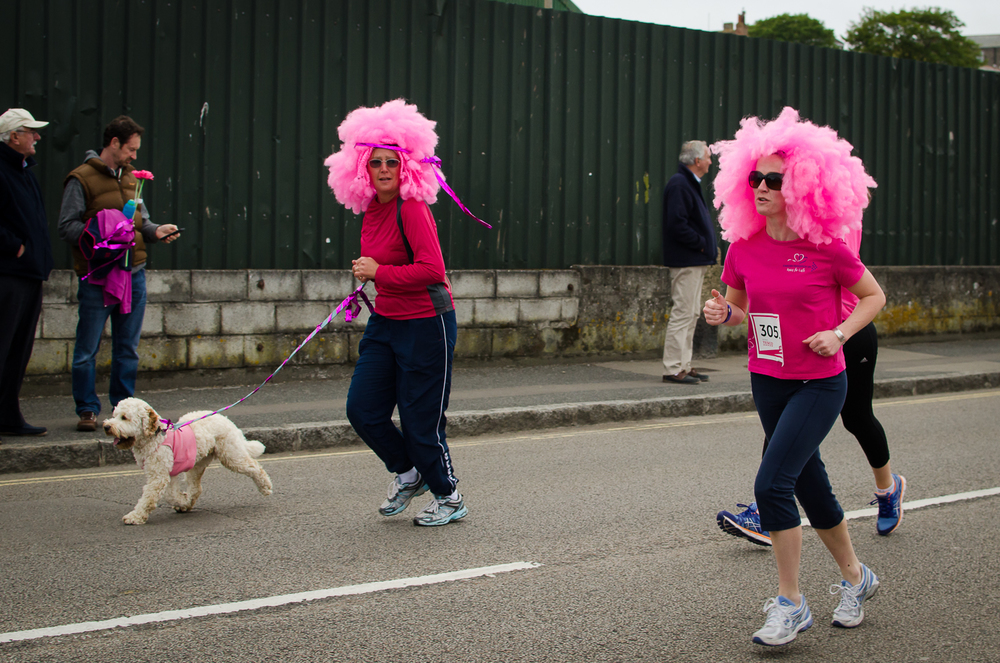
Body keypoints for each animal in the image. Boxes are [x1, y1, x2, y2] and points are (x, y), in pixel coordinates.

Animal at [104, 396, 274, 528]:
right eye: (114, 415)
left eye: (124, 417)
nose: (106, 426)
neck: (155, 437)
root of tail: (227, 420)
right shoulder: (167, 474)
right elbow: (171, 495)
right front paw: (182, 502)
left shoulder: (158, 476)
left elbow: (149, 497)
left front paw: (135, 517)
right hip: (197, 463)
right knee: (196, 488)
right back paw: (188, 503)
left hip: (231, 455)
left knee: (255, 467)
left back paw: (265, 487)